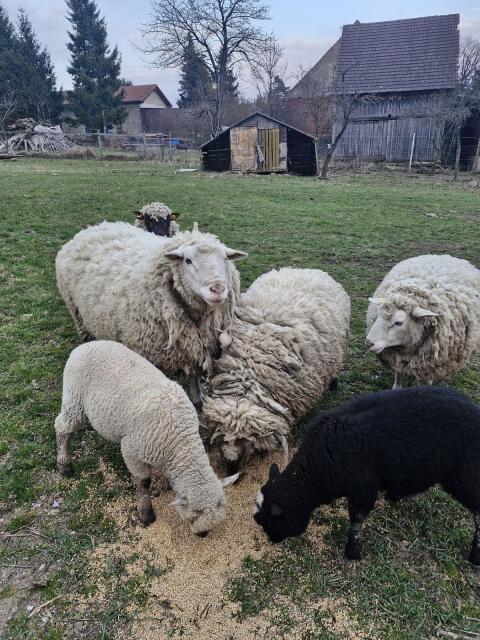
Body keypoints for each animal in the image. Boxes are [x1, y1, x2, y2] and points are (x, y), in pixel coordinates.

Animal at [55, 340, 238, 534]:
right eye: (192, 517)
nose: (203, 535)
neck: (180, 440)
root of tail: (84, 346)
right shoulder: (132, 451)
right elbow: (144, 483)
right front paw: (146, 515)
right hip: (74, 398)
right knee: (62, 427)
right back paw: (64, 465)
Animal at [56, 222, 247, 402]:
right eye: (187, 260)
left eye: (225, 259)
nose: (217, 288)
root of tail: (93, 228)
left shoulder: (196, 347)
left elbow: (194, 374)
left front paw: (198, 397)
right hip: (76, 312)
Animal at [201, 267, 350, 474]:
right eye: (221, 437)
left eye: (247, 441)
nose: (231, 469)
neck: (248, 374)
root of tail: (308, 269)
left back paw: (334, 383)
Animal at [253, 386, 480, 565]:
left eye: (271, 522)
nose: (272, 540)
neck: (316, 472)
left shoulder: (363, 490)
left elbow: (357, 520)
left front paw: (352, 552)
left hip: (464, 476)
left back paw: (475, 557)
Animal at [366, 254, 480, 389]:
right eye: (378, 315)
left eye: (398, 323)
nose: (369, 343)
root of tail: (442, 256)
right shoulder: (397, 358)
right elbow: (398, 374)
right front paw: (396, 387)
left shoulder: (431, 365)